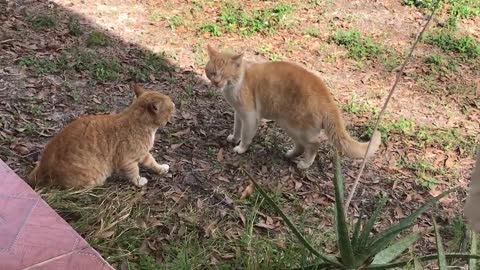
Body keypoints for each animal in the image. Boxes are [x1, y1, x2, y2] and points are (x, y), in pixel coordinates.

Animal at [28, 84, 175, 188]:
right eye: (171, 107)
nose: (175, 104)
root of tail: (43, 168)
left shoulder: (143, 153)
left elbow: (152, 162)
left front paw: (161, 168)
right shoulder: (127, 160)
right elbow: (134, 173)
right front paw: (139, 181)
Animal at [204, 45, 380, 170]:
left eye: (224, 74)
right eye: (212, 73)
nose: (216, 83)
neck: (238, 81)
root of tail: (328, 99)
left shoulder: (249, 116)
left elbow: (246, 135)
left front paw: (240, 148)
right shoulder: (238, 113)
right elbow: (236, 128)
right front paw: (234, 139)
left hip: (293, 126)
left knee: (314, 144)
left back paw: (305, 164)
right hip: (290, 126)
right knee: (301, 146)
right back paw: (289, 155)